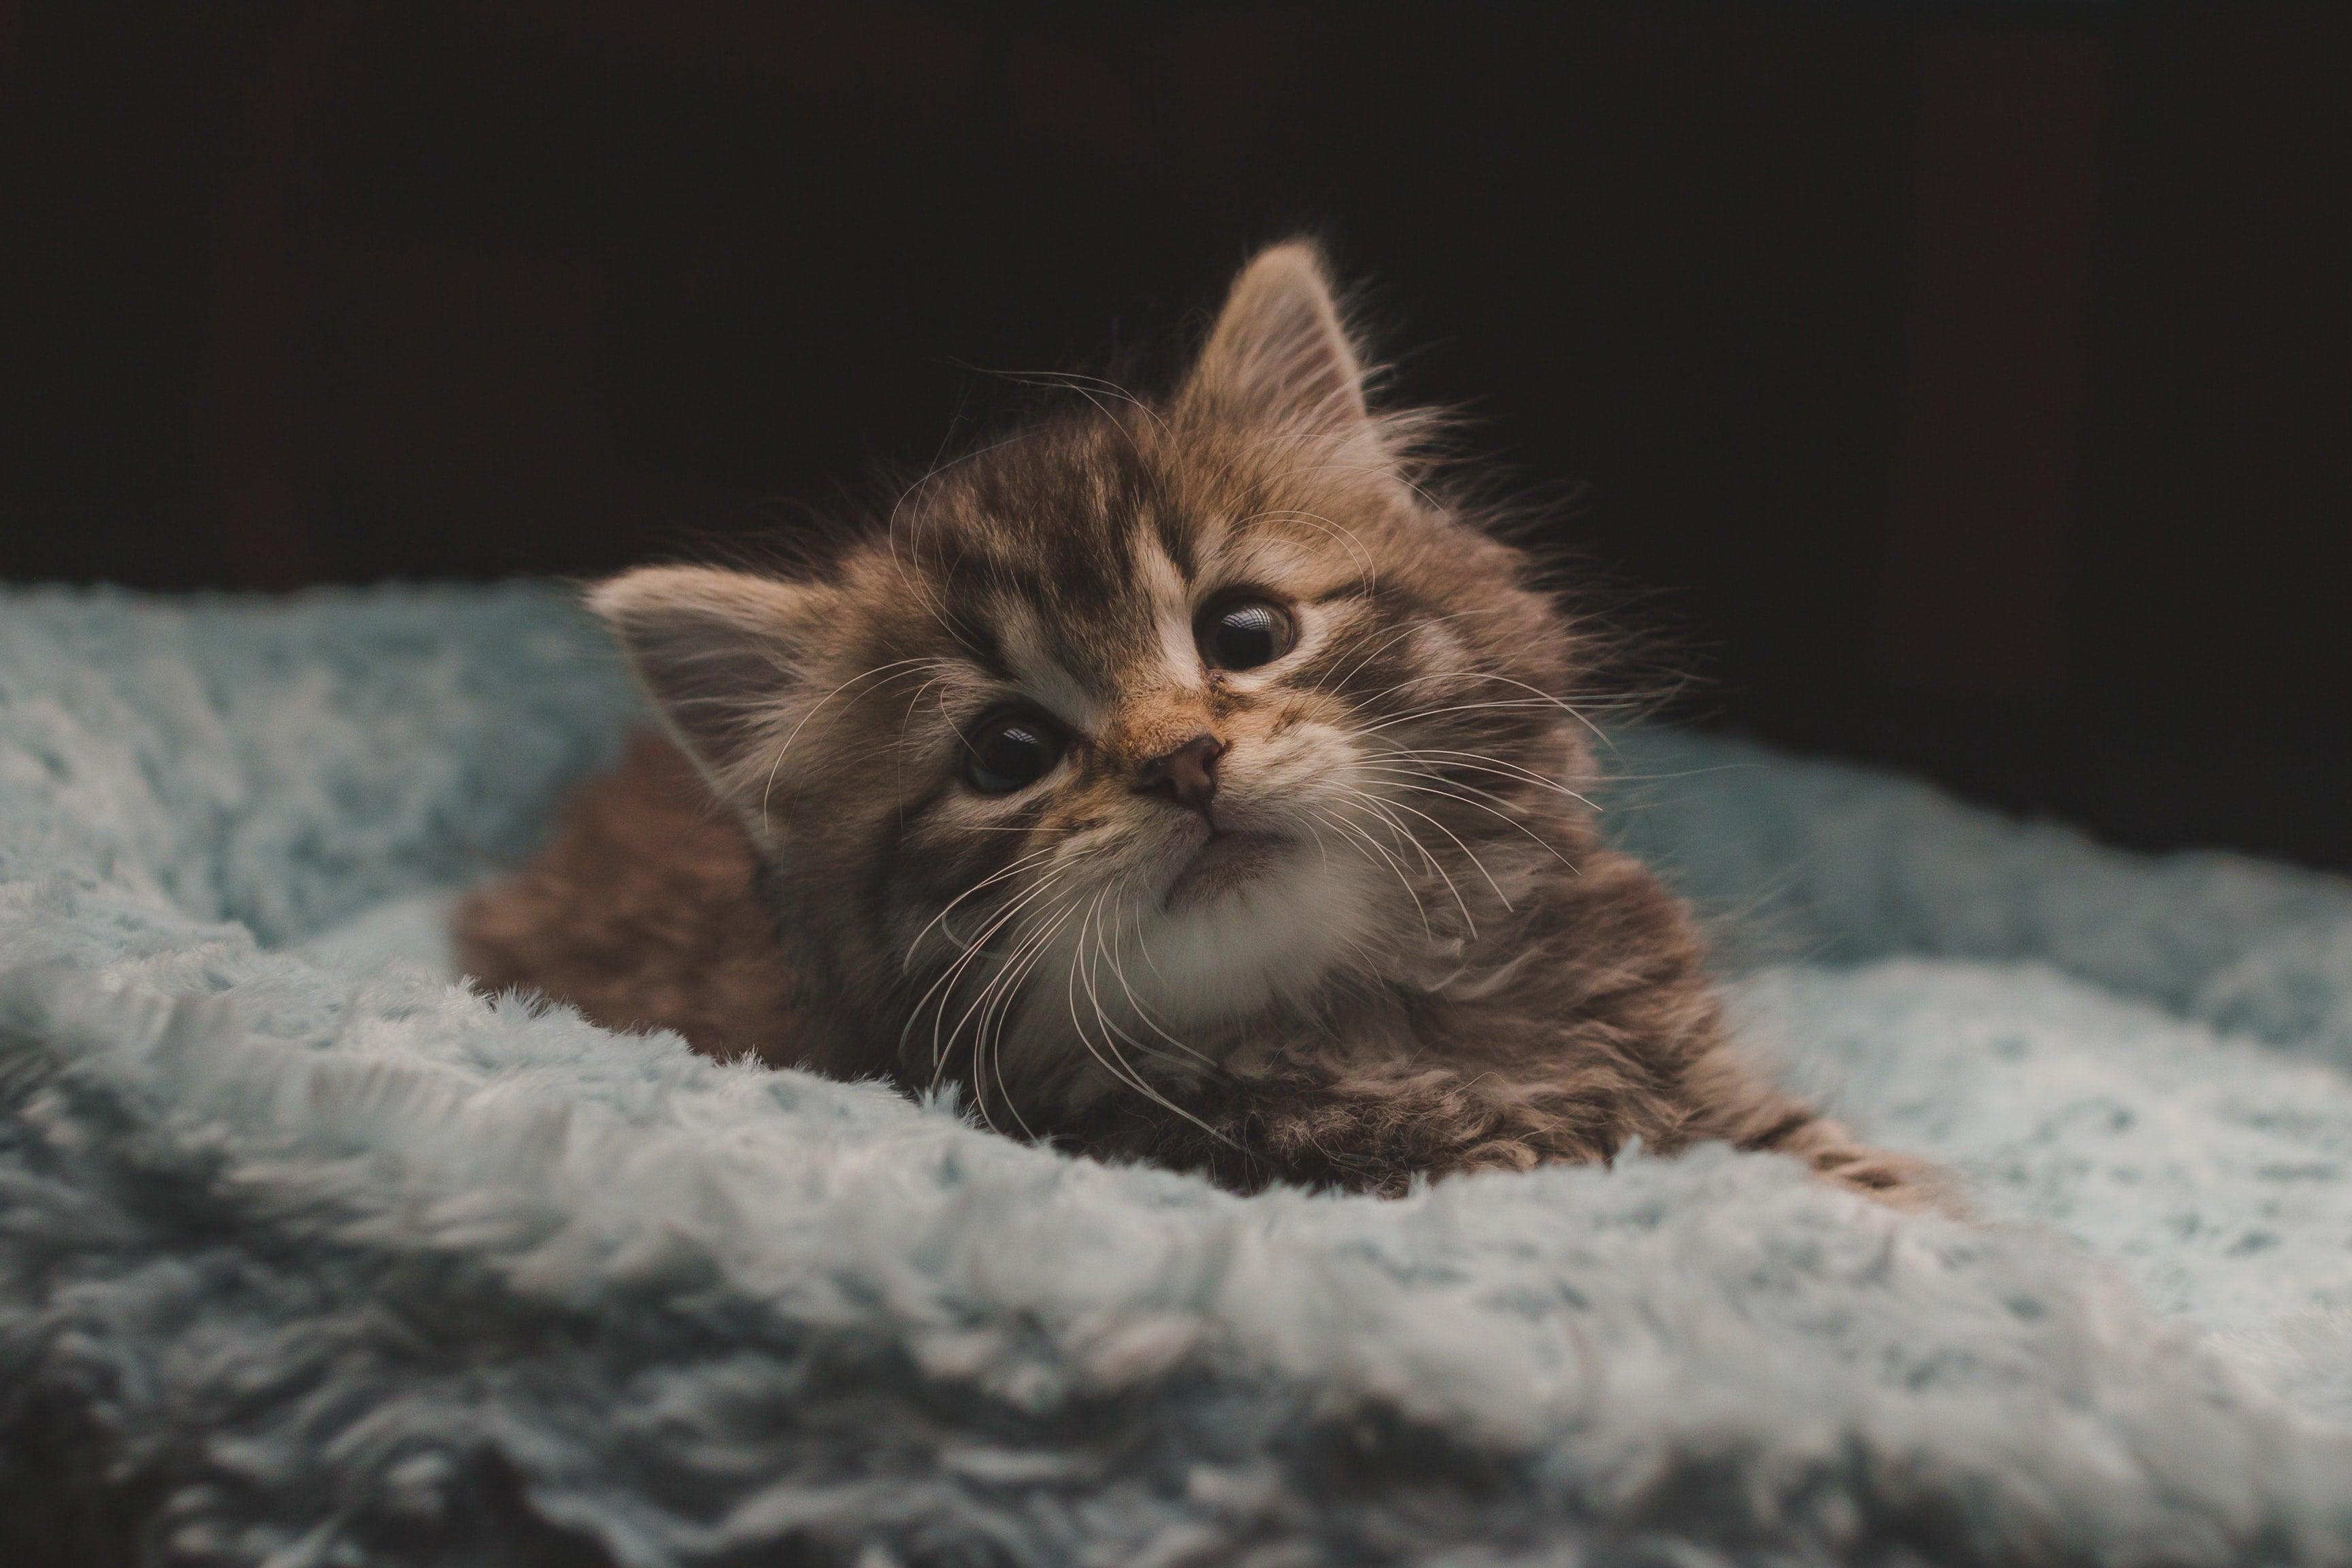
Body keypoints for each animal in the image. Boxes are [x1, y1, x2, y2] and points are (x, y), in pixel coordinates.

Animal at [454, 239, 1928, 1213]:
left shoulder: (1709, 1095)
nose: (1183, 758)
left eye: (1245, 633)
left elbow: (1850, 1176)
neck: (1361, 1016)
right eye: (1006, 756)